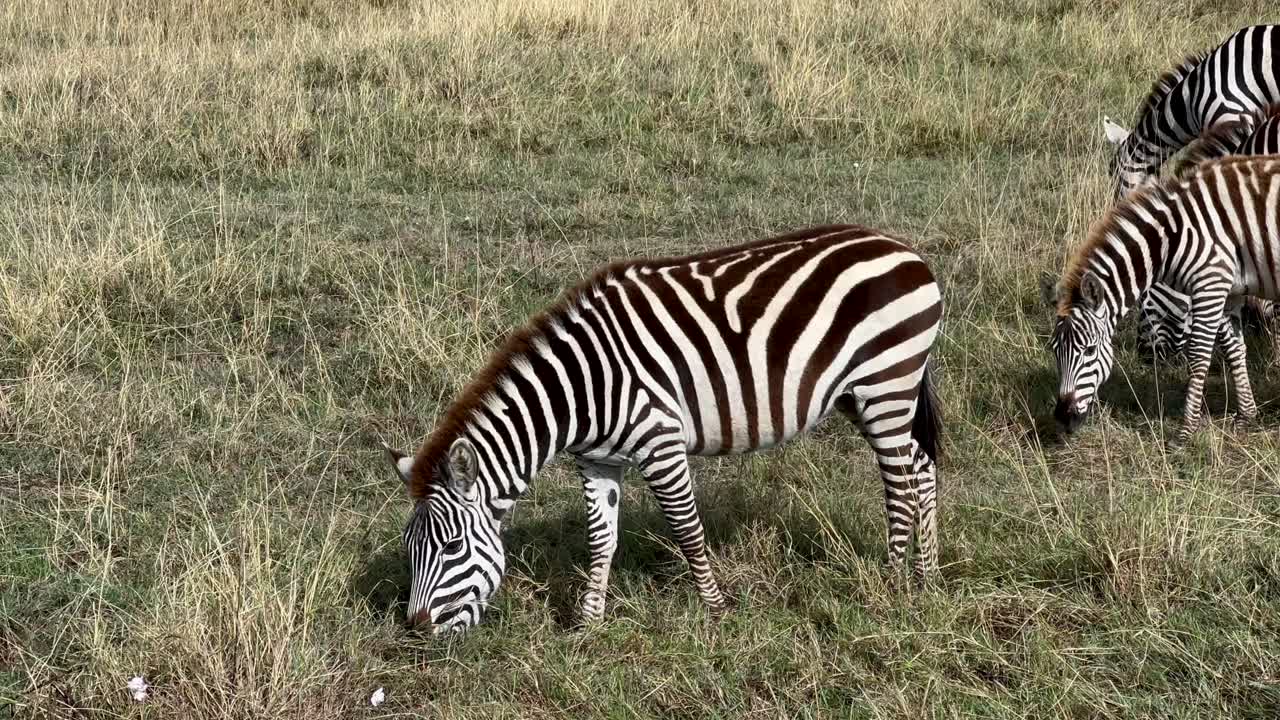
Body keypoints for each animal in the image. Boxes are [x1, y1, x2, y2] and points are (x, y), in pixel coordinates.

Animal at [384, 225, 944, 633]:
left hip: (885, 385)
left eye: (452, 548)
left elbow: (687, 531)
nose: (416, 630)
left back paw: (889, 584)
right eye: (409, 548)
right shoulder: (596, 460)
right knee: (921, 466)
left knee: (900, 485)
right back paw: (927, 577)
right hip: (863, 394)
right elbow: (601, 539)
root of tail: (902, 249)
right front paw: (588, 625)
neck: (582, 389)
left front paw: (716, 612)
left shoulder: (660, 443)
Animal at [1048, 157, 1280, 445]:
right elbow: (1234, 349)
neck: (1172, 238)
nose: (1063, 418)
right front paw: (1246, 415)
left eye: (1090, 350)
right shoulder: (1230, 289)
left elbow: (1199, 355)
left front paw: (1186, 431)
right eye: (1054, 351)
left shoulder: (1210, 283)